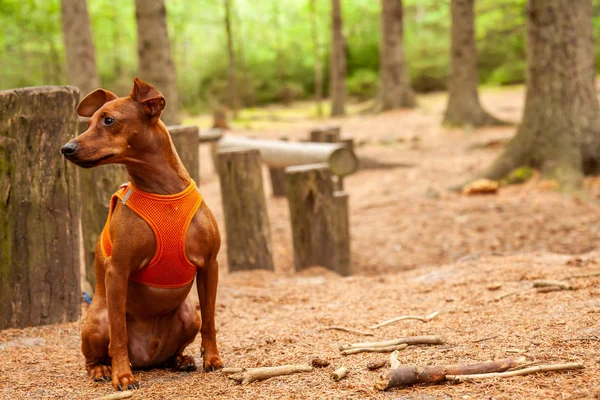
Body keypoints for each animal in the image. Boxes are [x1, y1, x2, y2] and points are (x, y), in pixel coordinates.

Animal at [62, 77, 224, 390]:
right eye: (88, 123)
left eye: (109, 120)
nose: (66, 148)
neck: (163, 192)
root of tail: (148, 359)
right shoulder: (118, 270)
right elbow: (119, 335)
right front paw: (122, 376)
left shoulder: (210, 265)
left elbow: (210, 319)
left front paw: (212, 359)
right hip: (97, 319)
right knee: (97, 354)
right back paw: (103, 369)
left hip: (189, 314)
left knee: (178, 346)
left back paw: (180, 360)